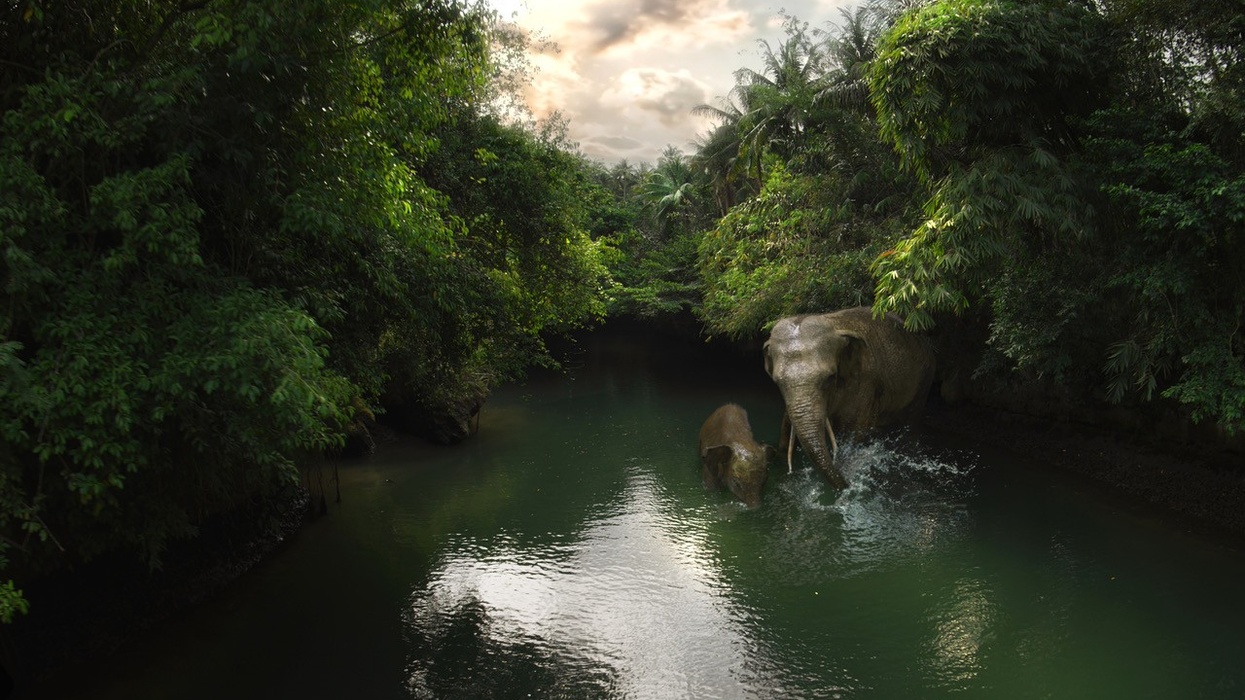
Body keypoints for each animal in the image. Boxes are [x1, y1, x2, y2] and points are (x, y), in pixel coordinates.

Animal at [763, 306, 936, 489]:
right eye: (777, 382)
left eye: (830, 378)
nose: (847, 483)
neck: (834, 324)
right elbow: (785, 433)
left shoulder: (865, 382)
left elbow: (852, 435)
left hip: (925, 380)